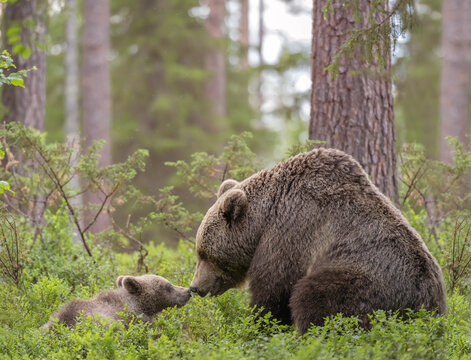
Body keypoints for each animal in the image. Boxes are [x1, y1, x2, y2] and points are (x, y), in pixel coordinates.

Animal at [190, 148, 448, 332]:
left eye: (203, 253)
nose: (195, 287)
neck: (263, 222)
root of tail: (430, 311)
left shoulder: (291, 233)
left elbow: (274, 289)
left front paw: (256, 327)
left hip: (371, 286)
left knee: (314, 297)